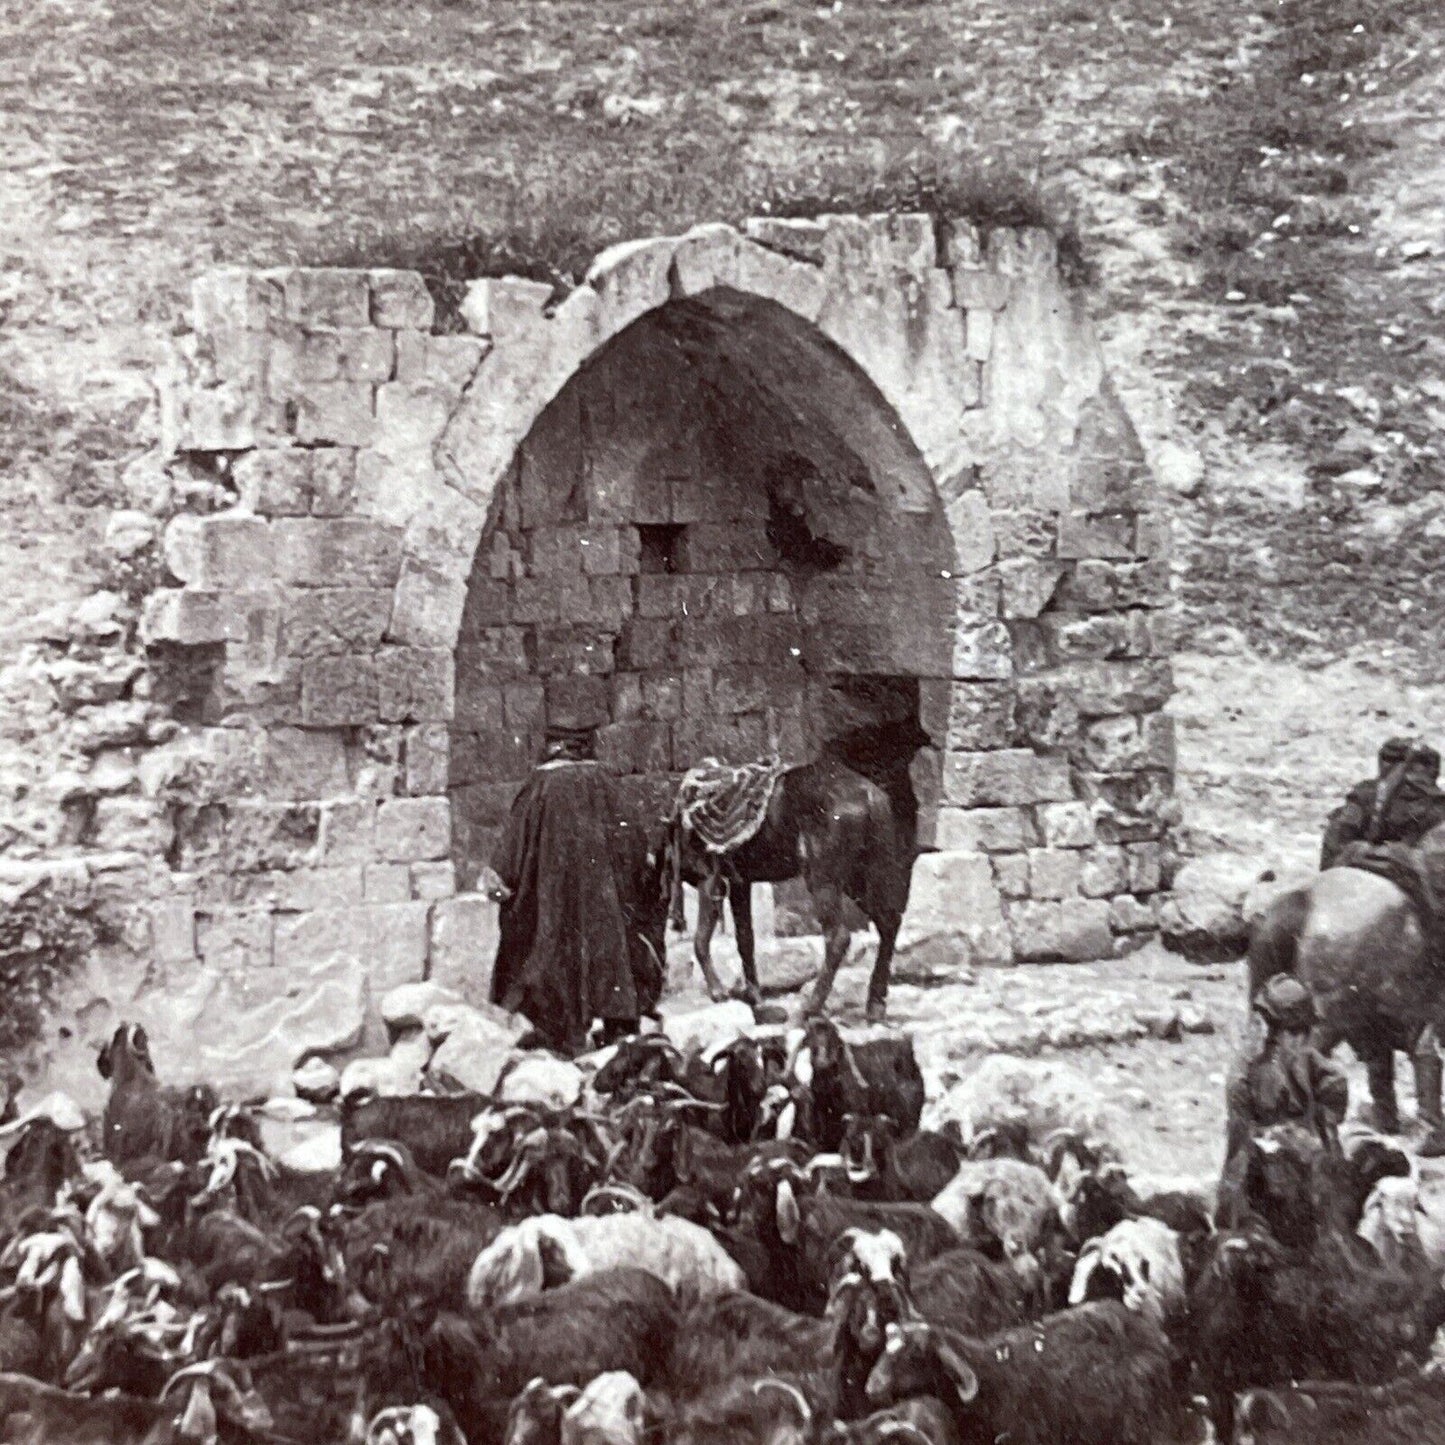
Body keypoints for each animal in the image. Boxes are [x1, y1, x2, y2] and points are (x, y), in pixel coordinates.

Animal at [661, 719, 930, 1017]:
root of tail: (871, 795)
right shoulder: (741, 883)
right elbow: (745, 939)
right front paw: (755, 999)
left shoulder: (710, 880)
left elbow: (701, 939)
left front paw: (718, 992)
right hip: (860, 877)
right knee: (888, 922)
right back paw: (875, 1004)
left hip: (823, 879)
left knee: (839, 937)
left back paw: (811, 1006)